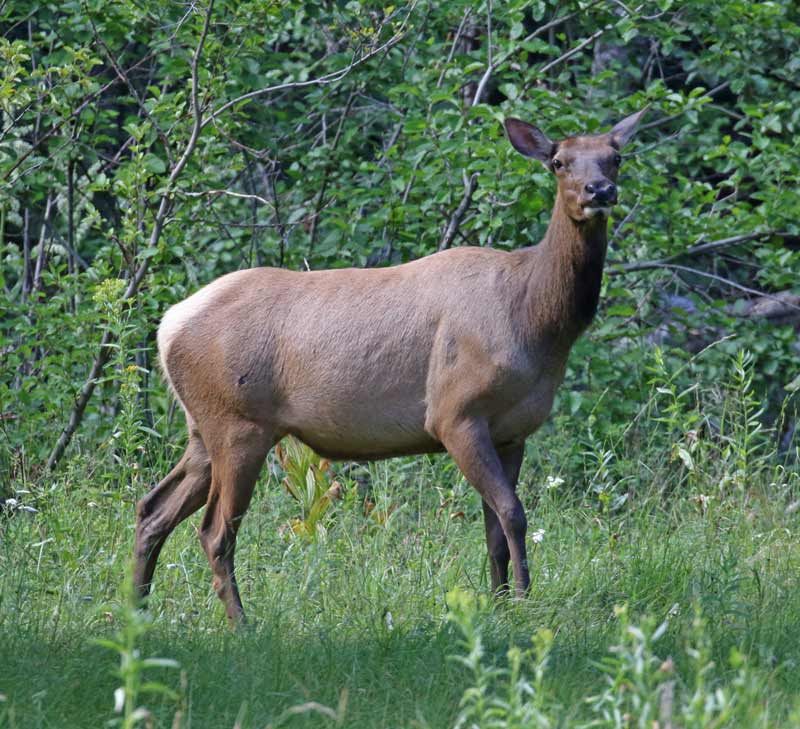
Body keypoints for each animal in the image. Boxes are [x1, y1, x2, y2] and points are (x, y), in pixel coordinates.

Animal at [134, 108, 647, 624]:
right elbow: (514, 514)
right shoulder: (454, 413)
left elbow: (495, 531)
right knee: (214, 532)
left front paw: (501, 604)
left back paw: (135, 608)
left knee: (151, 509)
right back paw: (241, 624)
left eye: (616, 156)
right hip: (238, 425)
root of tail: (167, 327)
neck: (536, 321)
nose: (599, 190)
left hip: (203, 430)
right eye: (559, 162)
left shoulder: (512, 431)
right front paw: (522, 602)